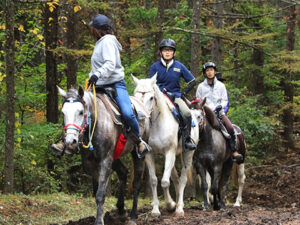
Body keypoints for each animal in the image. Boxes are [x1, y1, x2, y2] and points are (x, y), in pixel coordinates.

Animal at [56, 85, 148, 224]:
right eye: (63, 113)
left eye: (81, 112)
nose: (70, 141)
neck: (96, 123)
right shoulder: (91, 163)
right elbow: (96, 192)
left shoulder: (105, 160)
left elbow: (100, 194)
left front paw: (99, 221)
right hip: (114, 157)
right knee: (123, 172)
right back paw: (121, 209)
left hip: (137, 154)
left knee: (136, 183)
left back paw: (133, 216)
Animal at [132, 75, 199, 216]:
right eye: (135, 95)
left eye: (151, 97)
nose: (141, 116)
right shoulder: (149, 154)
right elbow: (154, 181)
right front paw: (156, 210)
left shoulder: (170, 152)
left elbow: (164, 181)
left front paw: (170, 205)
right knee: (175, 178)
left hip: (188, 153)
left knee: (182, 178)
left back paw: (179, 208)